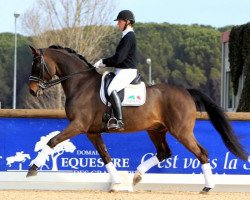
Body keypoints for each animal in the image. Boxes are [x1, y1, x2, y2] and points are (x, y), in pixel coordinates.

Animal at [26, 45, 248, 192]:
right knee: (164, 152)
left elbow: (52, 141)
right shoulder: (91, 131)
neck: (80, 83)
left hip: (181, 131)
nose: (32, 90)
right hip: (156, 130)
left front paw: (33, 169)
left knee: (201, 153)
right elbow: (105, 155)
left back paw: (208, 187)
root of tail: (186, 91)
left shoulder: (78, 125)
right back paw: (137, 176)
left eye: (37, 65)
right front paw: (116, 182)